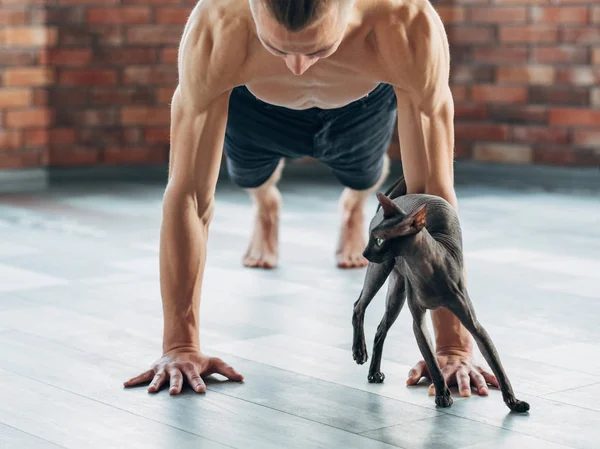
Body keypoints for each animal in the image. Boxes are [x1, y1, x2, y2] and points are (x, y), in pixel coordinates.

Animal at [352, 175, 528, 412]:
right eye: (372, 237)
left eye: (379, 240)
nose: (364, 252)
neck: (425, 270)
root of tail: (397, 202)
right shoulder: (418, 323)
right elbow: (433, 362)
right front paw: (443, 395)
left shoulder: (475, 326)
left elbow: (497, 365)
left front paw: (513, 402)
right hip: (381, 270)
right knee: (358, 306)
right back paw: (359, 351)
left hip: (396, 290)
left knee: (380, 329)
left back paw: (373, 372)